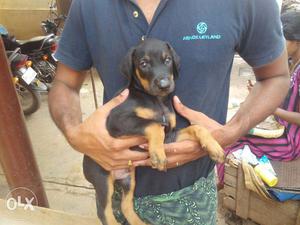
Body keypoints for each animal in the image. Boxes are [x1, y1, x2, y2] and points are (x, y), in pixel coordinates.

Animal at [99, 39, 224, 225]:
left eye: (167, 60)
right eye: (143, 64)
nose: (164, 85)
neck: (156, 100)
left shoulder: (170, 135)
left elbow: (196, 127)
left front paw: (213, 147)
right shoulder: (117, 119)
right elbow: (154, 125)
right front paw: (157, 154)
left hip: (129, 179)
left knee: (125, 205)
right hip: (103, 179)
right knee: (104, 212)